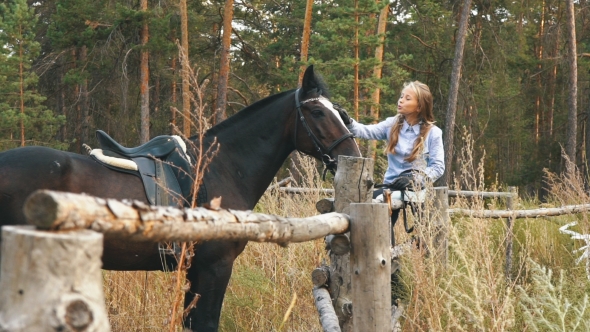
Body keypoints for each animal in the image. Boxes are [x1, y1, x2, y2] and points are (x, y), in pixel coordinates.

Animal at [0, 65, 364, 332]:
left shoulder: (195, 271)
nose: (354, 155)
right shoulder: (216, 268)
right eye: (317, 113)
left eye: (340, 112)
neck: (221, 168)